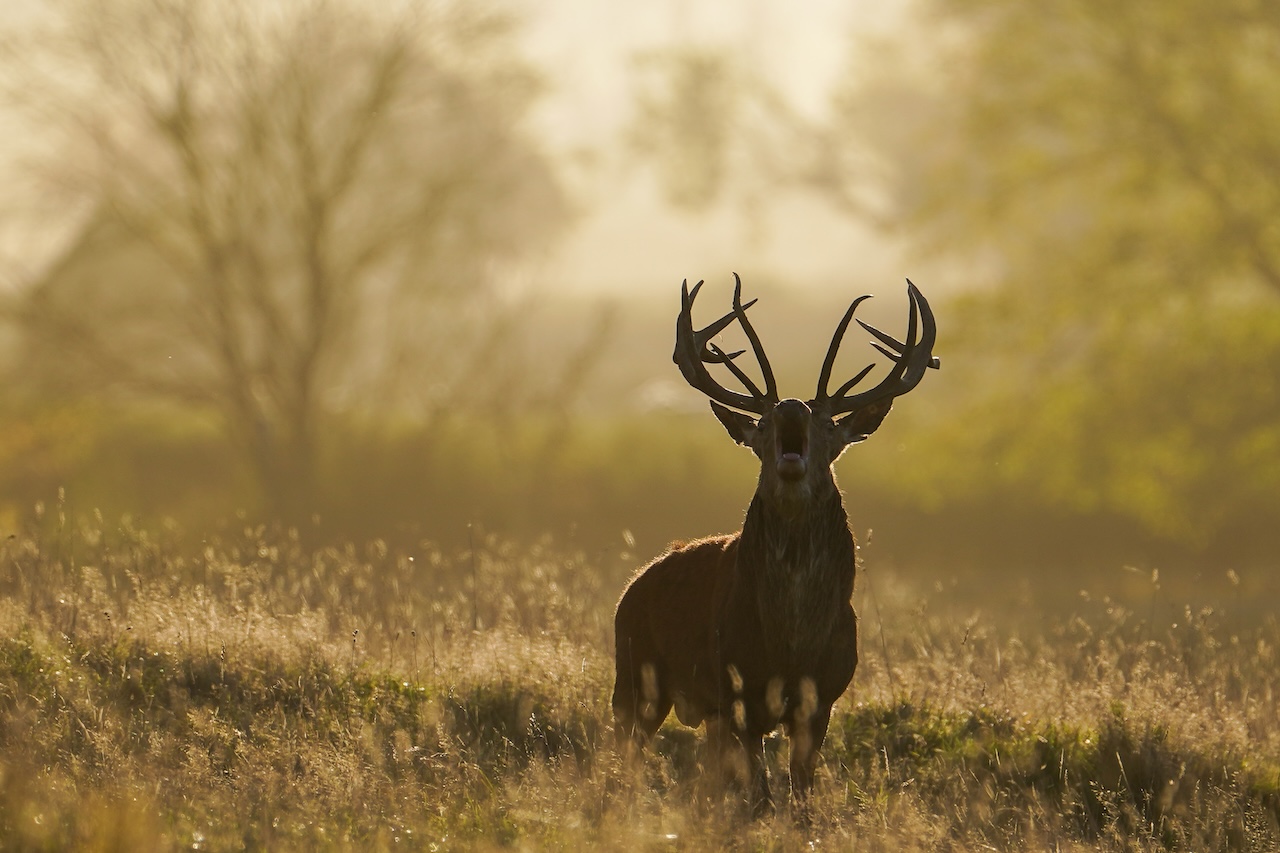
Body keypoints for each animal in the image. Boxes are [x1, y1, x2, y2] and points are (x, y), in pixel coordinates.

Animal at [612, 273, 938, 814]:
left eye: (828, 424)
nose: (790, 408)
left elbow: (800, 792)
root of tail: (632, 587)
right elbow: (760, 793)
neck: (789, 643)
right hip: (635, 674)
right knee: (625, 750)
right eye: (762, 424)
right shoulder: (735, 691)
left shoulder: (821, 697)